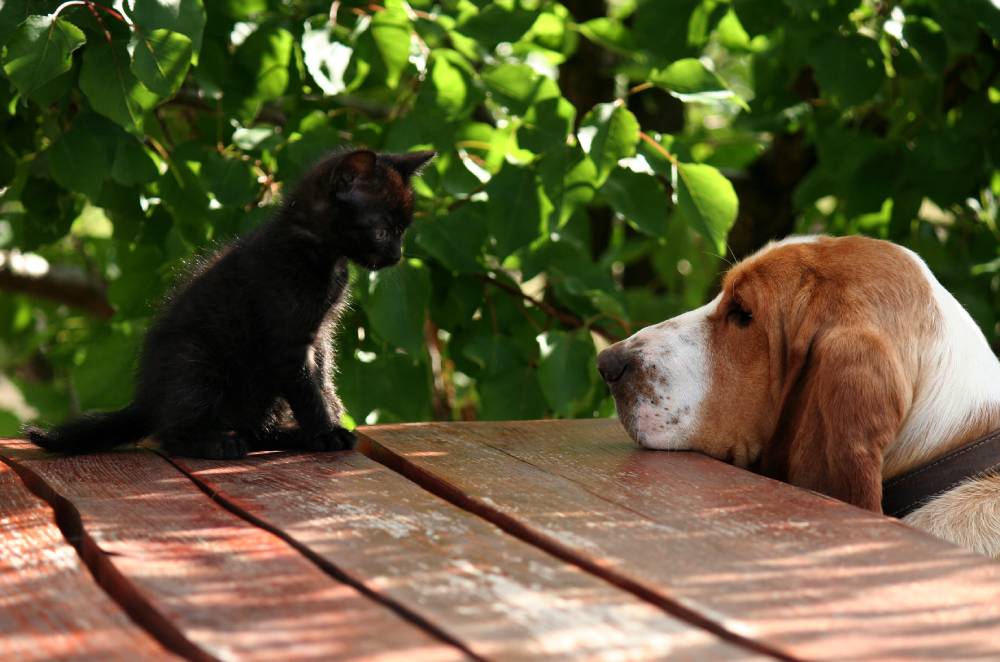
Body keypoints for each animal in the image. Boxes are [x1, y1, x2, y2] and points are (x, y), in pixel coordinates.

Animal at [23, 149, 434, 462]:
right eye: (382, 231)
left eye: (404, 232)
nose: (397, 256)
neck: (319, 252)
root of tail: (147, 400)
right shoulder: (286, 336)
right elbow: (307, 389)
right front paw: (327, 432)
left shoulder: (320, 337)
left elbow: (322, 380)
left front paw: (330, 422)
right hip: (195, 362)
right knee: (172, 433)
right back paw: (217, 443)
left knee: (255, 426)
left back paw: (283, 436)